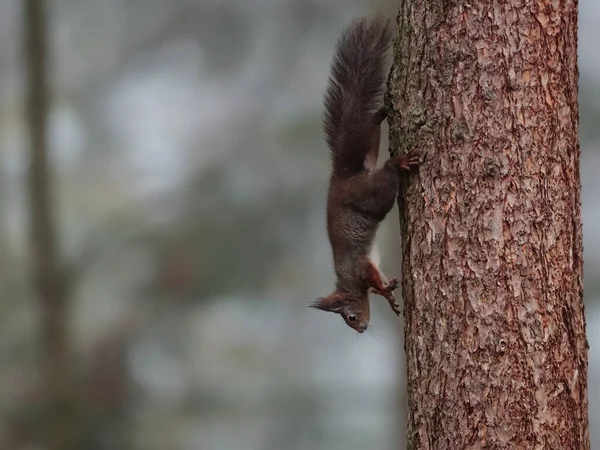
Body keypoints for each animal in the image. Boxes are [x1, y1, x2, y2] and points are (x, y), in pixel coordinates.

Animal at [312, 15, 420, 332]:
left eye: (349, 317)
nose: (360, 328)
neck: (348, 282)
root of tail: (344, 176)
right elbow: (379, 283)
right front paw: (389, 295)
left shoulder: (360, 267)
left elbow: (373, 282)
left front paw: (384, 291)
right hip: (370, 145)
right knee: (370, 126)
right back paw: (381, 112)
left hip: (372, 195)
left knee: (386, 178)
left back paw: (398, 162)